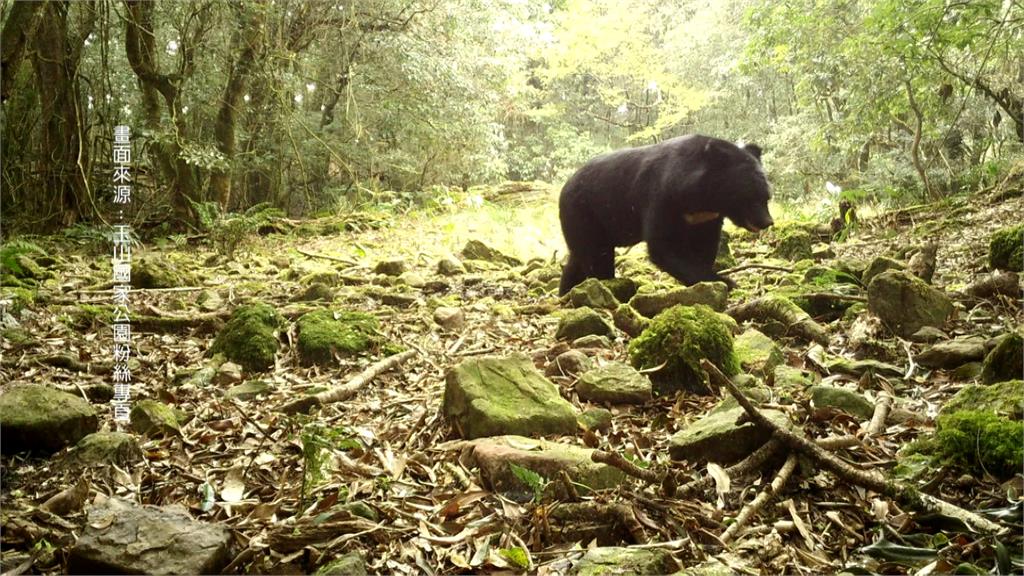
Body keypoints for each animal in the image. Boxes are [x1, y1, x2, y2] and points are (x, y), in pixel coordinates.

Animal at [561, 134, 774, 293]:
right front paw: (725, 281)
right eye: (750, 196)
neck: (702, 199)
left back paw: (566, 291)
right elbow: (664, 245)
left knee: (577, 259)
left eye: (767, 196)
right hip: (584, 213)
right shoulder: (662, 197)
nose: (767, 222)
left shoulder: (706, 217)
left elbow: (704, 245)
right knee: (597, 255)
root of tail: (565, 186)